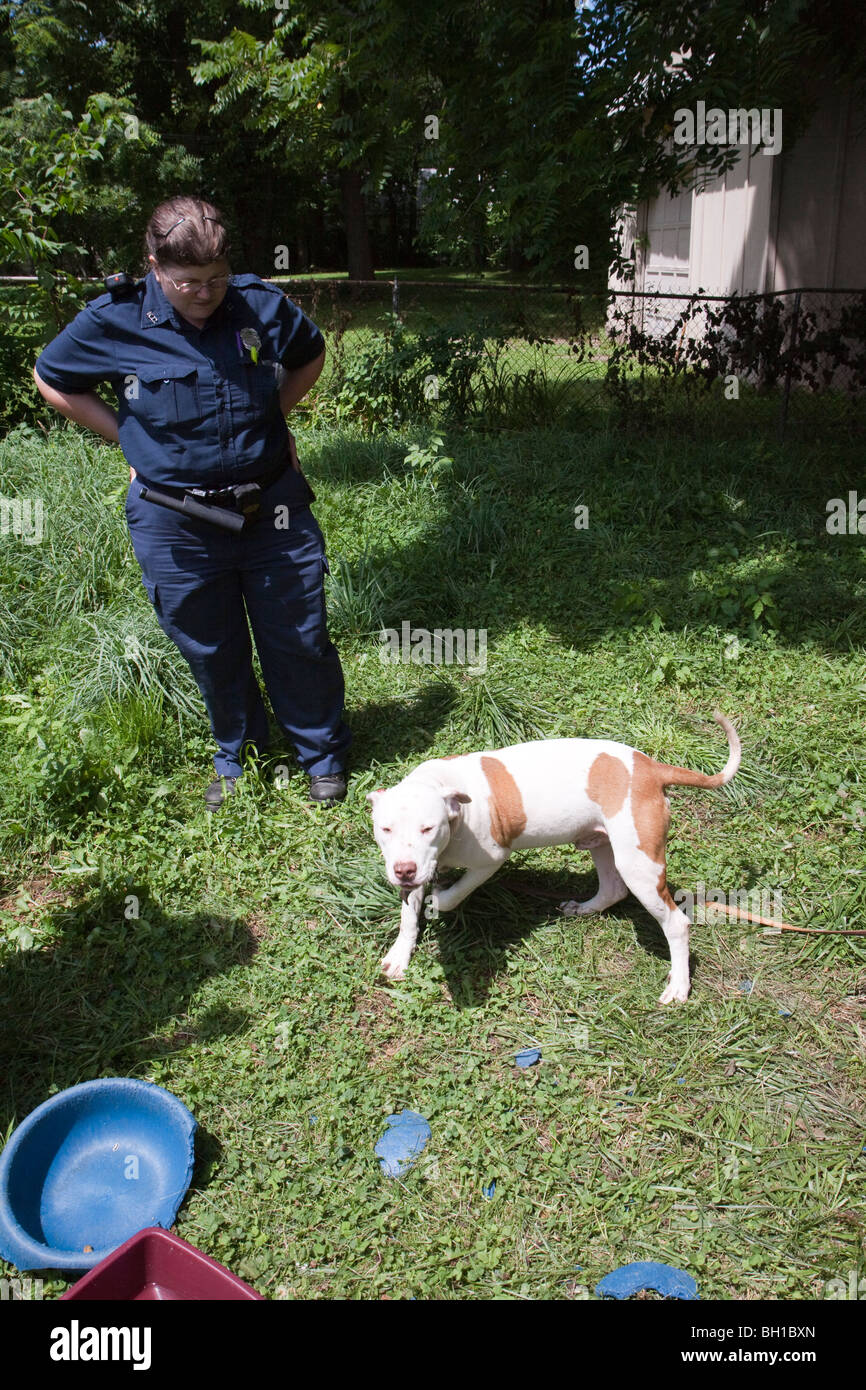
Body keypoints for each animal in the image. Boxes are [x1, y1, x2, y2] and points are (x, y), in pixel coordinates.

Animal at [369, 717, 739, 1000]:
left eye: (428, 828)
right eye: (385, 829)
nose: (403, 871)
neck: (445, 791)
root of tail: (651, 768)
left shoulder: (491, 860)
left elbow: (451, 896)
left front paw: (438, 898)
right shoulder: (415, 871)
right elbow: (408, 915)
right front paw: (400, 954)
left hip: (639, 867)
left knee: (676, 923)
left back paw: (679, 985)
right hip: (602, 845)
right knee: (613, 889)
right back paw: (584, 908)